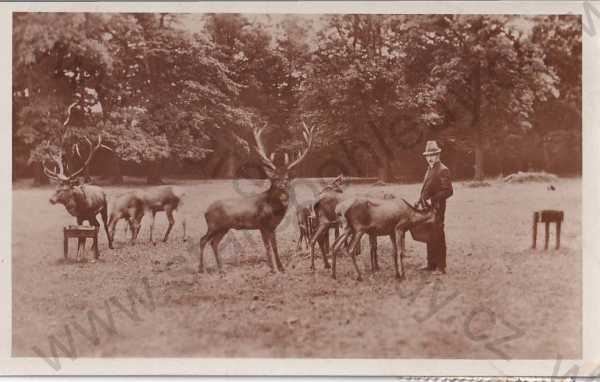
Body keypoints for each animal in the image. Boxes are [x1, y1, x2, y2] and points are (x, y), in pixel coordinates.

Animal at [198, 121, 318, 274]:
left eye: (287, 179)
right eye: (274, 179)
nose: (283, 190)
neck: (273, 211)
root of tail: (206, 212)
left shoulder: (272, 227)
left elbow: (275, 247)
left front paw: (281, 268)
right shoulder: (262, 224)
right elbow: (267, 247)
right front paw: (273, 269)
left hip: (223, 228)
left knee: (214, 242)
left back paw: (221, 269)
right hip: (213, 225)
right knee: (203, 240)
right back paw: (201, 269)